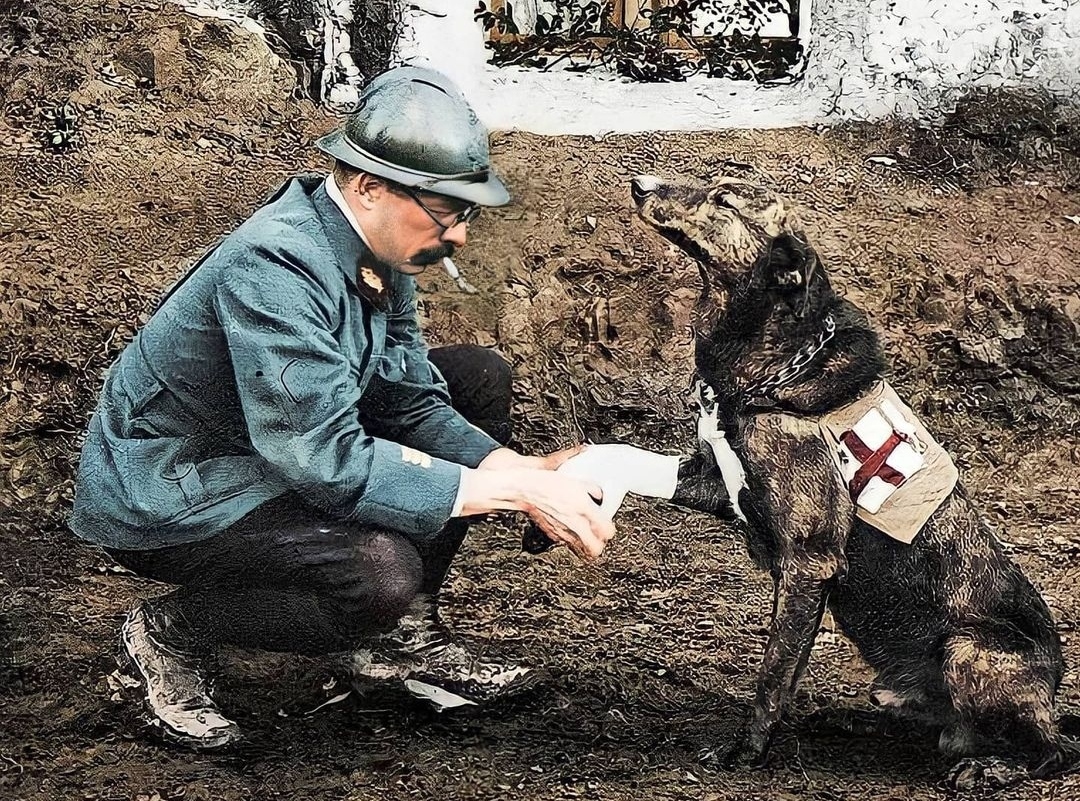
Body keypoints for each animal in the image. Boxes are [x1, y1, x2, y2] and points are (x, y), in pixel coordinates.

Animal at [630, 173, 1075, 790]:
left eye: (724, 199)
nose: (638, 183)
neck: (774, 366)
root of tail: (1053, 688)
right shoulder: (724, 487)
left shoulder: (808, 562)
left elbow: (774, 674)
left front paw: (747, 751)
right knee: (932, 726)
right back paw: (854, 719)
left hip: (969, 650)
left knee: (1052, 751)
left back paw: (990, 767)